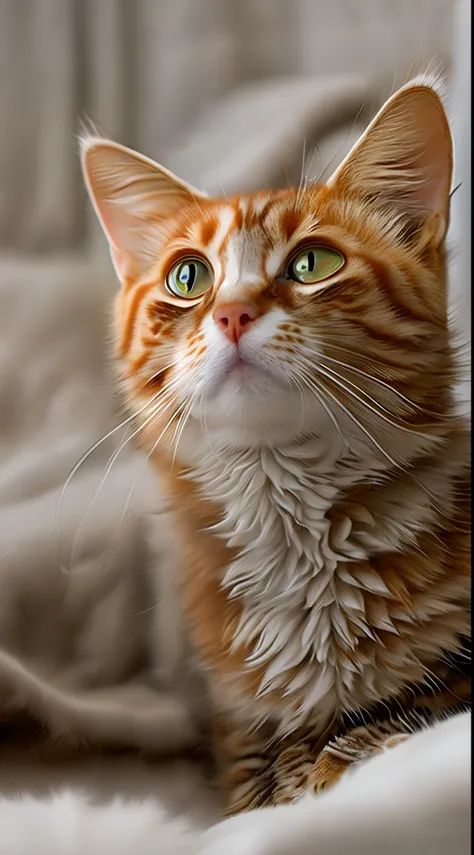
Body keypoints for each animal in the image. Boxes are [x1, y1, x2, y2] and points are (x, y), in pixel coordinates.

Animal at [81, 75, 470, 816]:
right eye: (188, 277)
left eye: (313, 263)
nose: (234, 313)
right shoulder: (238, 725)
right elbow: (259, 778)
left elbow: (411, 713)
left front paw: (337, 759)